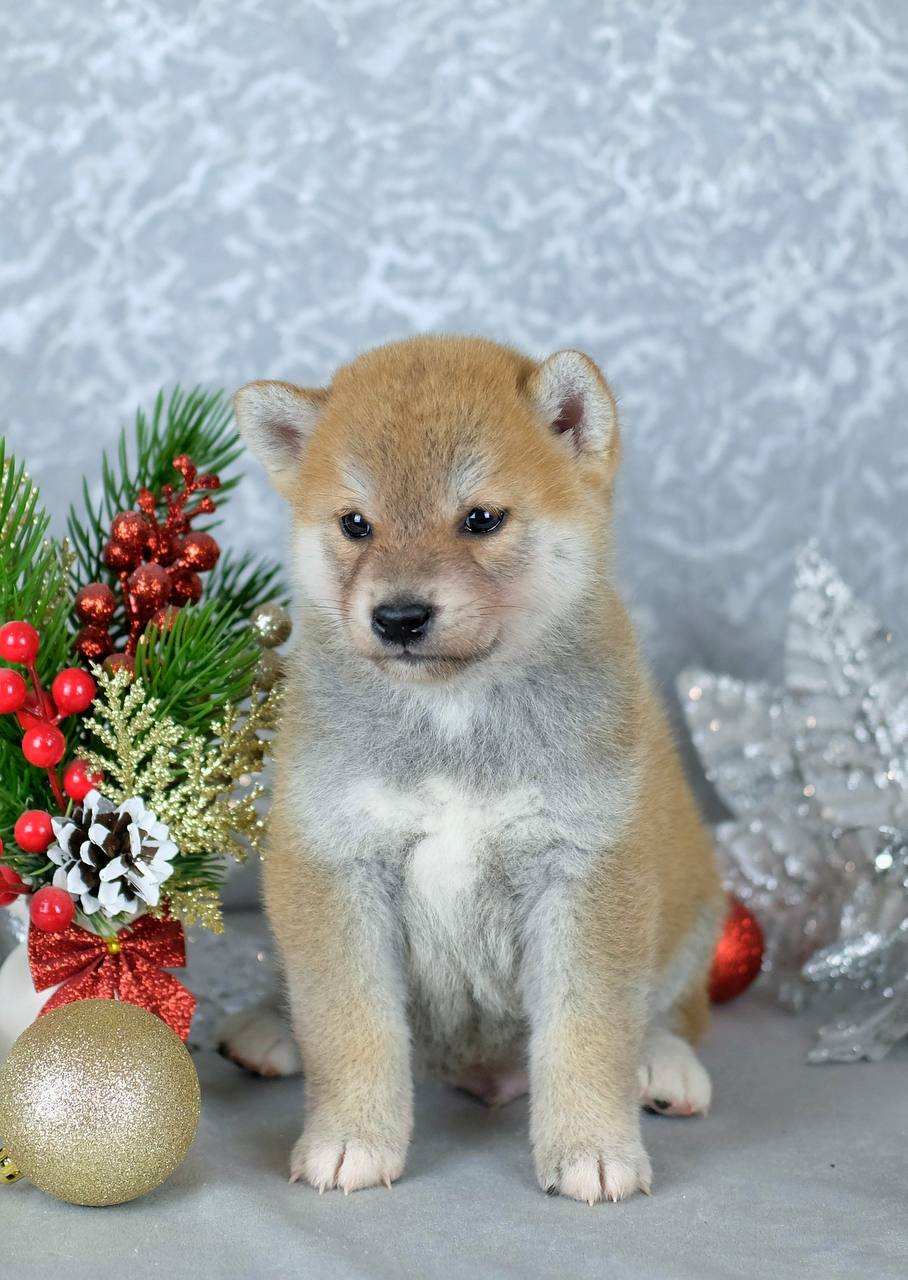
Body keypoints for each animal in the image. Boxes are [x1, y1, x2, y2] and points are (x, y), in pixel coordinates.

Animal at [221, 335, 723, 1203]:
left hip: (692, 900)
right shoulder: (333, 860)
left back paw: (665, 1064)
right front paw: (352, 1137)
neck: (453, 719)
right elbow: (350, 1023)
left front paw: (593, 1147)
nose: (399, 616)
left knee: (676, 1010)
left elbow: (588, 1030)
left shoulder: (586, 870)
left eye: (481, 519)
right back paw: (267, 1028)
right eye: (356, 523)